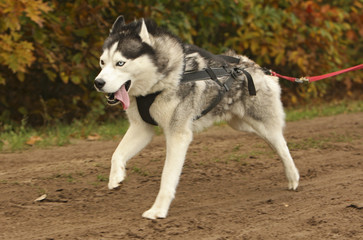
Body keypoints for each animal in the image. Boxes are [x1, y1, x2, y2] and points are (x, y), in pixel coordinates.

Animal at [95, 15, 300, 219]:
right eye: (102, 62)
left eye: (120, 63)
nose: (98, 82)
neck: (159, 83)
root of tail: (255, 67)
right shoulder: (141, 128)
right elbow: (116, 154)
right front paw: (116, 177)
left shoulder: (178, 135)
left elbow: (167, 176)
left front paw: (158, 210)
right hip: (241, 124)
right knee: (273, 141)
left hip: (261, 123)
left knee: (282, 144)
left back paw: (293, 176)